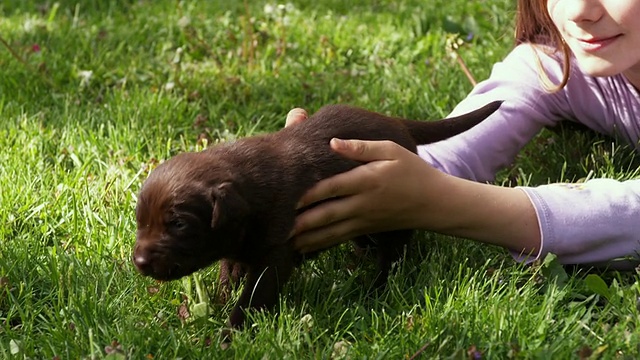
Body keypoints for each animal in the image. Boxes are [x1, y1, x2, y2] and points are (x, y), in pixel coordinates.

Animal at [132, 102, 502, 338]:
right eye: (140, 221)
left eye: (178, 224)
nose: (139, 262)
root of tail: (396, 121)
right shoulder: (237, 245)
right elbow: (229, 271)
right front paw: (221, 300)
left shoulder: (275, 254)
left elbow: (252, 297)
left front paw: (230, 333)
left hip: (391, 219)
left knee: (392, 256)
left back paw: (374, 290)